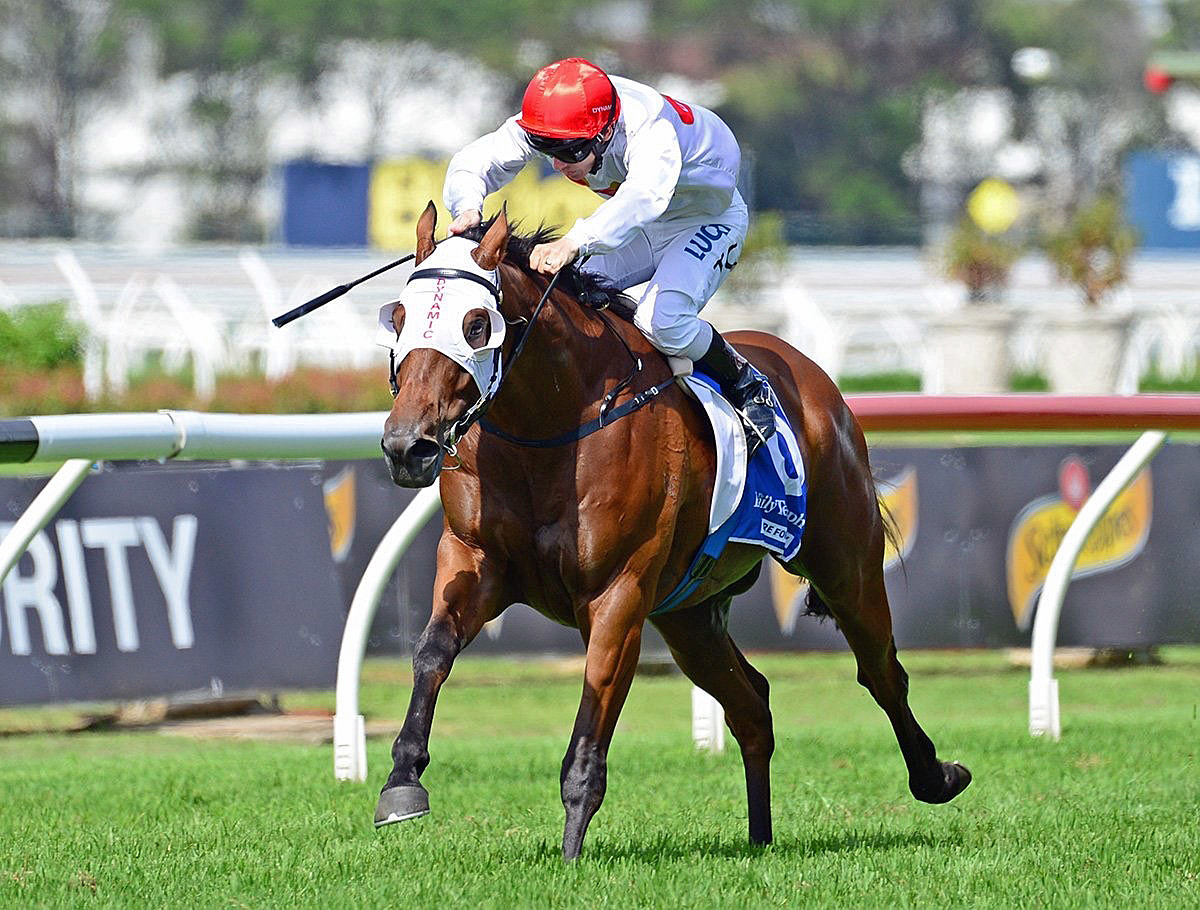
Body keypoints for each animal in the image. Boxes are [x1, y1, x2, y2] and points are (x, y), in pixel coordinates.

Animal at [376, 202, 971, 860]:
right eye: (398, 317)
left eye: (477, 324)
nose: (407, 446)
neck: (552, 427)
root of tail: (818, 383)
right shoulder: (474, 559)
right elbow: (431, 650)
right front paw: (402, 782)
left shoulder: (619, 593)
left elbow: (592, 717)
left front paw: (571, 855)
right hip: (689, 616)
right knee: (753, 706)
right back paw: (759, 839)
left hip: (847, 566)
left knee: (881, 671)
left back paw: (936, 777)